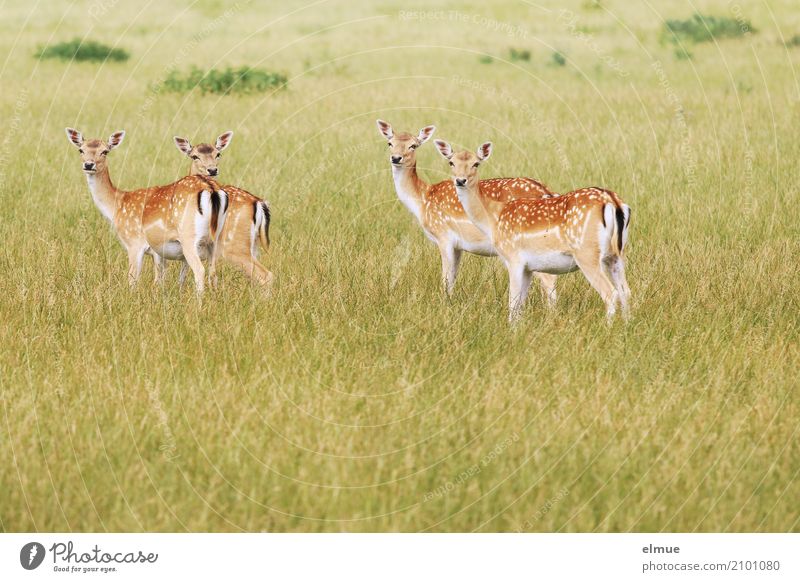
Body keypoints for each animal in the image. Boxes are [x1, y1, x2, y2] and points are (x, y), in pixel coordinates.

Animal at [65, 126, 228, 292]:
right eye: (81, 150)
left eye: (105, 151)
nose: (89, 165)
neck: (117, 205)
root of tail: (211, 189)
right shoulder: (157, 252)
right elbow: (162, 279)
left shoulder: (134, 242)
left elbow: (133, 279)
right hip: (215, 239)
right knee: (213, 272)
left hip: (189, 236)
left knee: (200, 270)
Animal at [173, 131, 274, 290]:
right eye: (195, 156)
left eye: (218, 154)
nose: (212, 169)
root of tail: (259, 203)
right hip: (254, 245)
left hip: (233, 245)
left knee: (265, 275)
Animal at [378, 118, 560, 302]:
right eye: (390, 143)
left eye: (413, 145)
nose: (396, 158)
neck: (423, 199)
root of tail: (547, 192)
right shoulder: (458, 245)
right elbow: (452, 278)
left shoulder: (443, 235)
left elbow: (445, 278)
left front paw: (444, 302)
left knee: (549, 279)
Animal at [434, 141, 628, 324]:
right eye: (451, 162)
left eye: (476, 163)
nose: (460, 180)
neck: (494, 216)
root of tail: (613, 202)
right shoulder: (528, 267)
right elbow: (520, 304)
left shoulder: (513, 258)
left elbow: (513, 303)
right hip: (615, 255)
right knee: (625, 291)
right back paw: (627, 326)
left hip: (587, 254)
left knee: (610, 293)